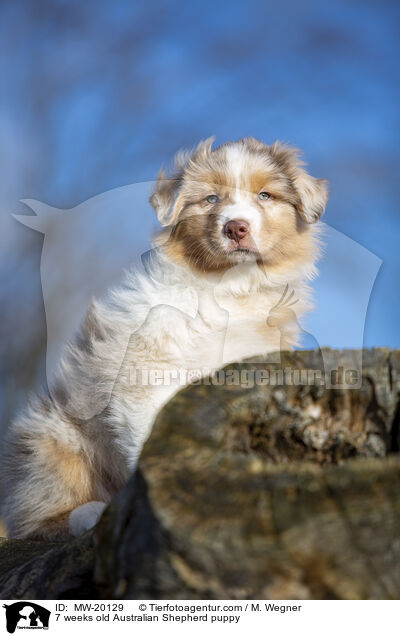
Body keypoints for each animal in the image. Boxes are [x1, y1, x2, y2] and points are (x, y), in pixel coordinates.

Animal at [0, 137, 328, 540]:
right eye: (210, 199)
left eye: (265, 195)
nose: (236, 228)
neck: (230, 287)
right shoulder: (145, 371)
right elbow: (149, 435)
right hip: (52, 437)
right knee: (38, 518)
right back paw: (89, 513)